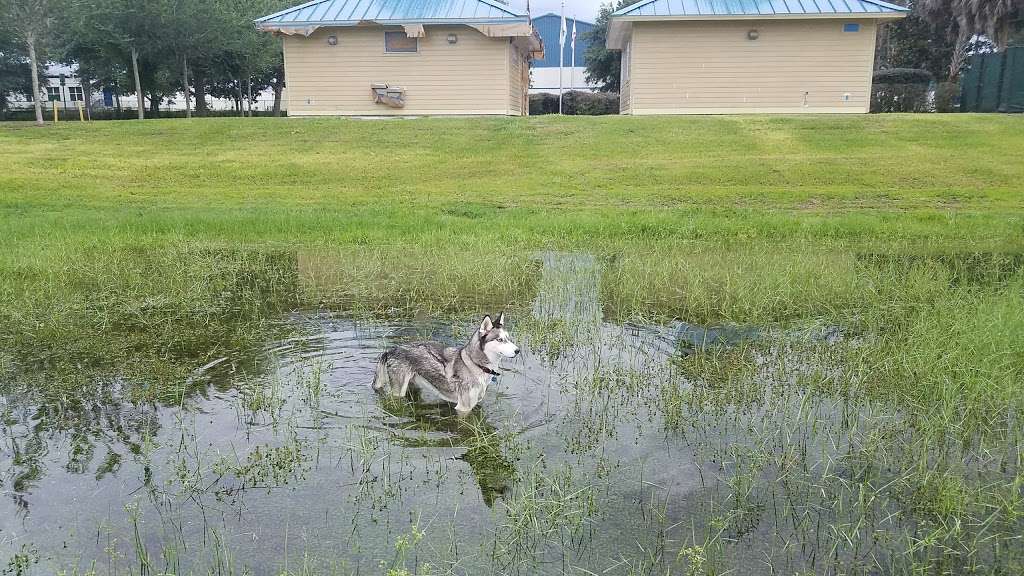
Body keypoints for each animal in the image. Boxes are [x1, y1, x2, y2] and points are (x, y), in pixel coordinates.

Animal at [372, 313, 520, 412]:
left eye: (508, 338)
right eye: (500, 340)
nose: (518, 350)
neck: (474, 364)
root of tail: (391, 350)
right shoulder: (463, 408)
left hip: (413, 385)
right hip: (398, 392)